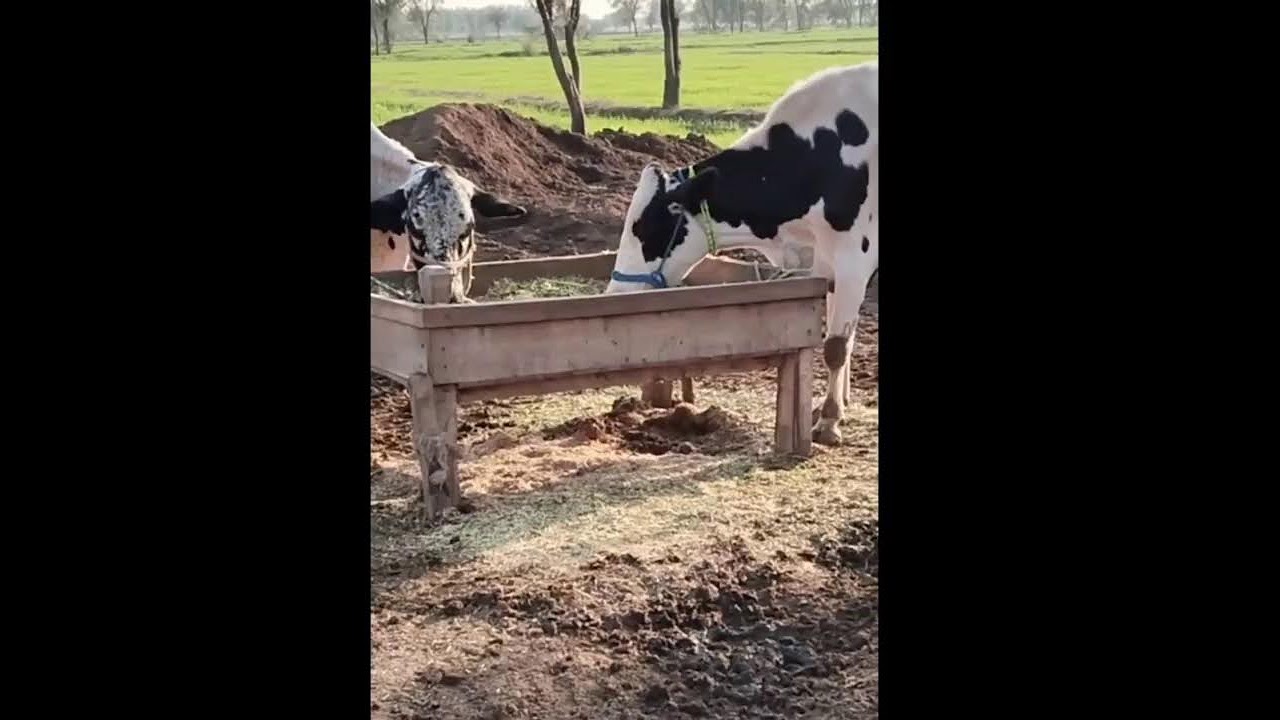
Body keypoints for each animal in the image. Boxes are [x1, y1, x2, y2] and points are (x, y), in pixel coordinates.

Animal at [603, 62, 878, 447]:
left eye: (648, 226)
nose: (615, 293)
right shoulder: (827, 260)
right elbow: (844, 342)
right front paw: (832, 407)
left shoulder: (855, 257)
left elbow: (836, 347)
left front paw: (828, 421)